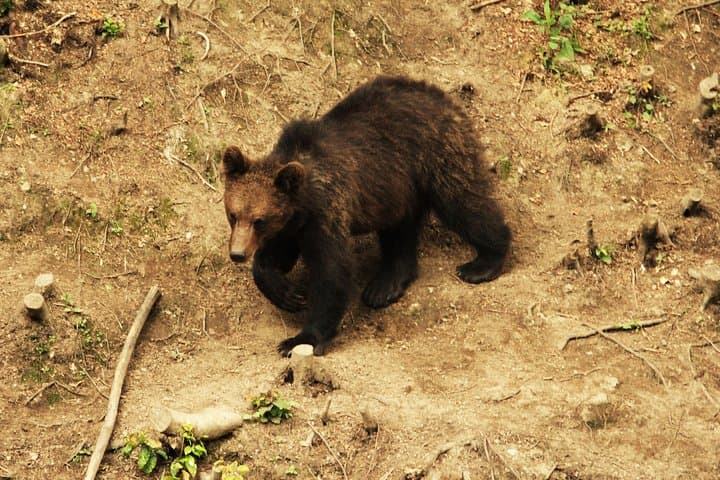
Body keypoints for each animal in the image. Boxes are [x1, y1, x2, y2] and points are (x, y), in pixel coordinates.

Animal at [222, 75, 511, 356]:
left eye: (259, 220)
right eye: (233, 214)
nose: (237, 254)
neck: (303, 203)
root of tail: (442, 96)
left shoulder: (325, 212)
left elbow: (332, 272)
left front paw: (301, 338)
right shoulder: (291, 225)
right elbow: (274, 259)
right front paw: (287, 293)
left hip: (435, 155)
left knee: (463, 203)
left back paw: (483, 262)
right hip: (397, 188)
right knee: (400, 231)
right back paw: (384, 286)